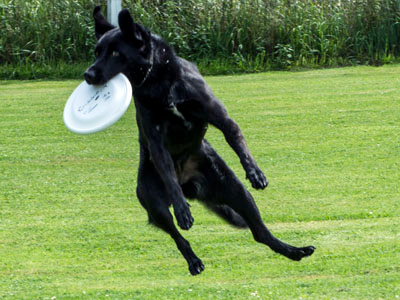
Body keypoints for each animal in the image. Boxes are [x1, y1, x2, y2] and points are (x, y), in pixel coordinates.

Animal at [85, 7, 316, 276]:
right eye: (97, 52)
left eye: (115, 53)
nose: (88, 74)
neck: (159, 81)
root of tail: (190, 185)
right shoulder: (156, 143)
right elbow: (169, 177)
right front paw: (182, 210)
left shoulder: (220, 117)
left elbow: (237, 140)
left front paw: (255, 171)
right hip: (155, 203)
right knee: (179, 237)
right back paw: (194, 260)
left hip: (237, 191)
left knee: (260, 233)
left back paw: (295, 251)